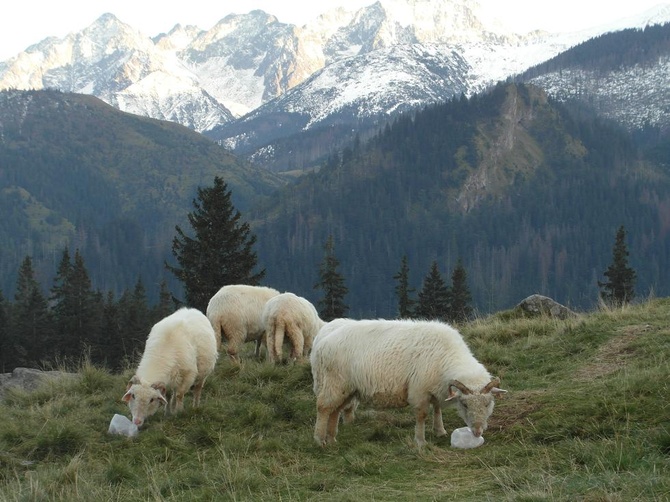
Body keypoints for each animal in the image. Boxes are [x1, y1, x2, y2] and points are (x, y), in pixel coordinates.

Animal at [312, 320, 506, 446]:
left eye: (488, 403)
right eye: (464, 404)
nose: (478, 432)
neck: (447, 356)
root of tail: (321, 343)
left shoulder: (435, 387)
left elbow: (437, 408)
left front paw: (440, 431)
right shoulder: (419, 390)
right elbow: (422, 415)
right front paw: (420, 441)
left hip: (346, 388)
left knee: (335, 410)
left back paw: (331, 439)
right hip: (334, 382)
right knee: (323, 408)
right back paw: (320, 440)